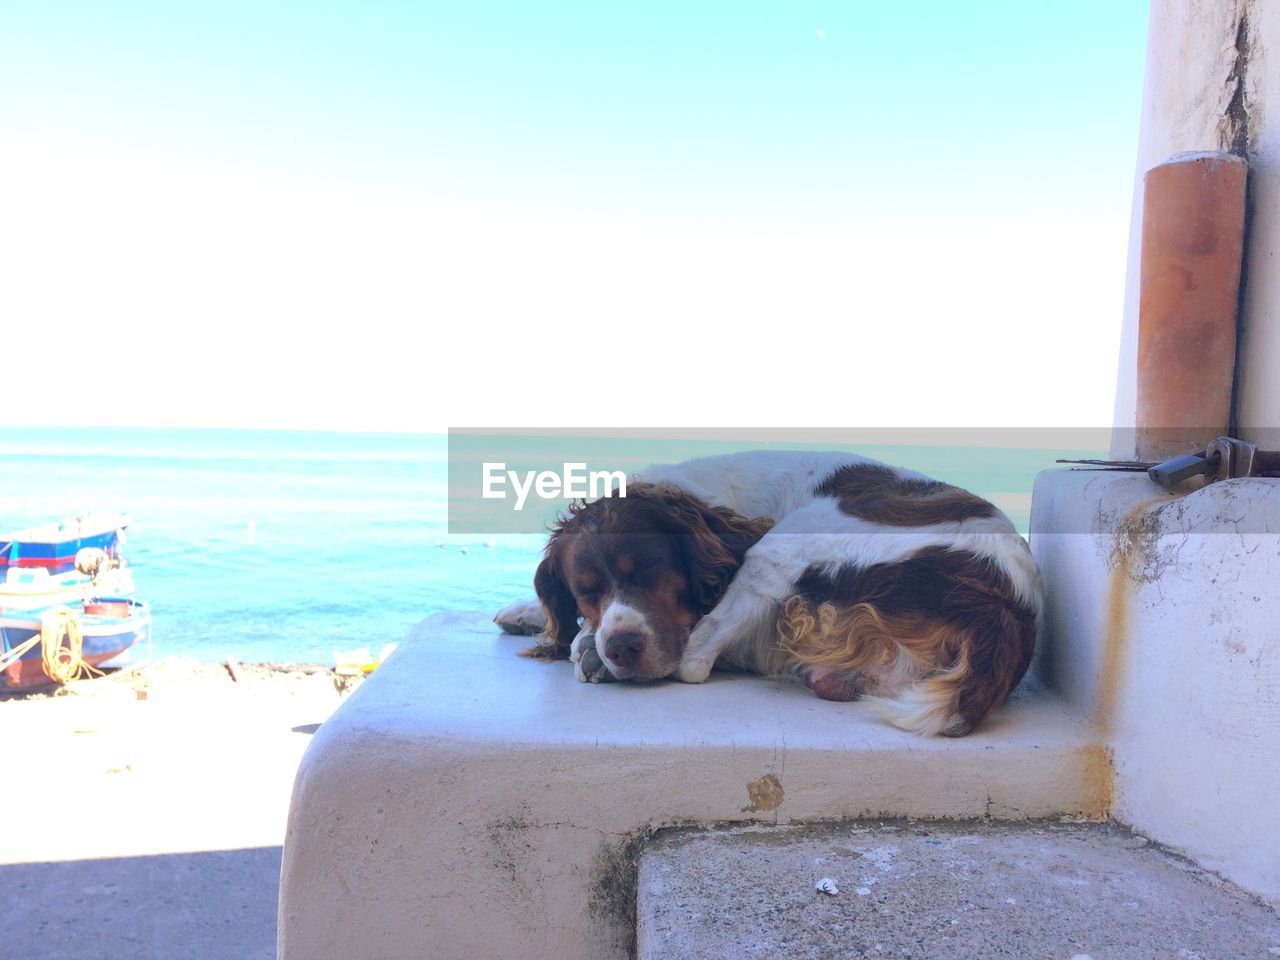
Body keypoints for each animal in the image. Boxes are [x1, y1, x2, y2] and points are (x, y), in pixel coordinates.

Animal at [488, 450, 1039, 737]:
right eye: (585, 591)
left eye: (649, 572)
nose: (621, 647)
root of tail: (1004, 608)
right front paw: (530, 615)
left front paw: (581, 643)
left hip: (787, 543)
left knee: (696, 660)